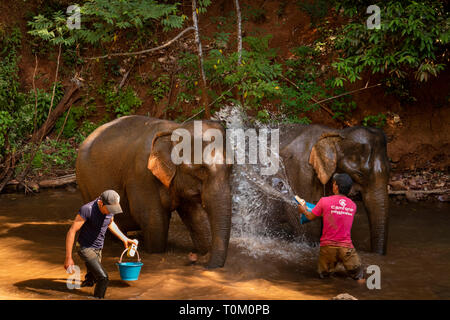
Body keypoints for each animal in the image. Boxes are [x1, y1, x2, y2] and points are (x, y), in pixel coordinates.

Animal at [76, 115, 232, 268]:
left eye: (231, 167)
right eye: (200, 169)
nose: (204, 264)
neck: (174, 129)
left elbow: (196, 217)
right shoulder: (142, 176)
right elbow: (153, 221)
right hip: (84, 181)